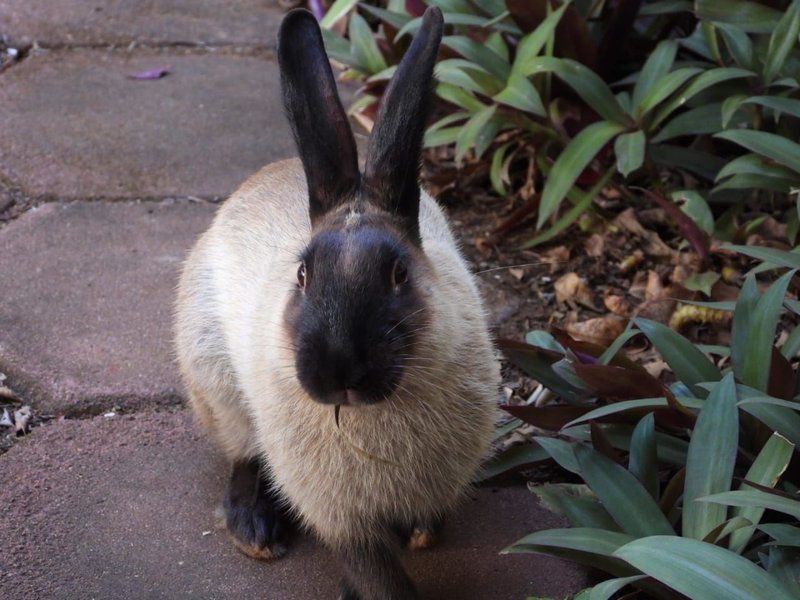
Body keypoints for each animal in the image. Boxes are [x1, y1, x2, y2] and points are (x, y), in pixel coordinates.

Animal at [176, 5, 500, 600]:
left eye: (398, 273)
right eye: (302, 275)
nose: (338, 371)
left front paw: (421, 535)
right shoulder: (340, 518)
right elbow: (375, 574)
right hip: (214, 380)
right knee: (242, 453)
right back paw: (253, 530)